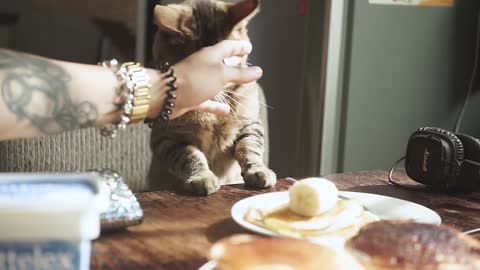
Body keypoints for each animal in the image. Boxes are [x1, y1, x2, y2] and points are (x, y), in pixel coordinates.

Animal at [150, 0, 278, 195]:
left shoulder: (250, 123)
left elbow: (249, 147)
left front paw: (258, 170)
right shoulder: (167, 137)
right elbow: (189, 156)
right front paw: (202, 177)